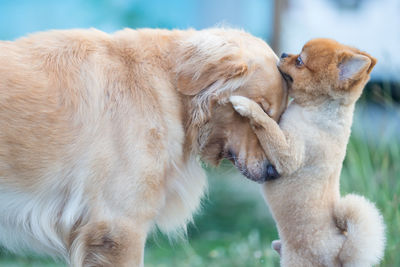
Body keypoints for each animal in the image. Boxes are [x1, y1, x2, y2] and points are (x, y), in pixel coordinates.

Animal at [230, 39, 386, 267]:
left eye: (300, 61)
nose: (284, 53)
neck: (316, 109)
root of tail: (340, 255)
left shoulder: (288, 155)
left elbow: (267, 125)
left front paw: (248, 106)